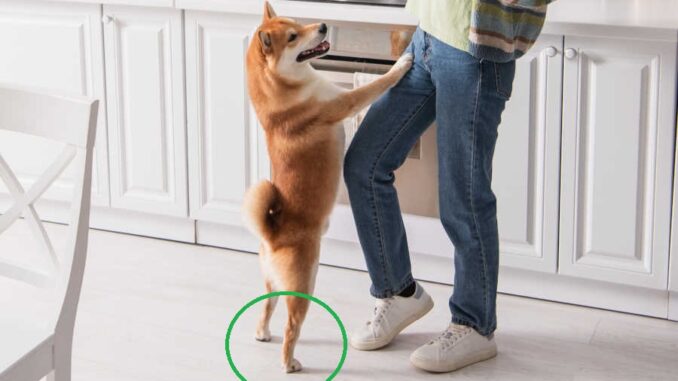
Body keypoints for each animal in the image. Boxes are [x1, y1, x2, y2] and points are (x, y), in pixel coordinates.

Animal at [244, 1, 414, 372]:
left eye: (298, 23)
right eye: (293, 37)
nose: (322, 25)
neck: (284, 95)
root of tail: (273, 235)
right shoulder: (345, 103)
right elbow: (376, 86)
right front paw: (402, 64)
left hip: (273, 281)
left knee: (266, 306)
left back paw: (262, 334)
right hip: (305, 283)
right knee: (291, 325)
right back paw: (290, 363)